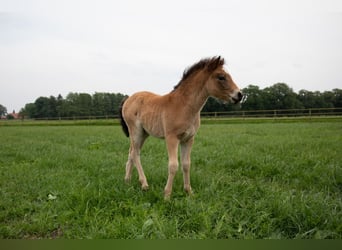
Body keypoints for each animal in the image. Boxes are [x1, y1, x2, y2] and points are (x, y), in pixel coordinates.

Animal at [119, 56, 242, 199]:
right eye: (221, 77)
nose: (240, 95)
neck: (185, 106)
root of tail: (128, 99)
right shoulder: (172, 138)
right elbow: (173, 165)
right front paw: (167, 195)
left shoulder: (188, 139)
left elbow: (186, 164)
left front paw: (189, 191)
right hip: (136, 131)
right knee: (135, 153)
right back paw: (144, 184)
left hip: (144, 133)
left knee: (132, 152)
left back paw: (127, 181)